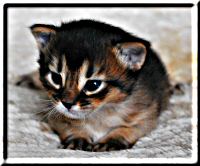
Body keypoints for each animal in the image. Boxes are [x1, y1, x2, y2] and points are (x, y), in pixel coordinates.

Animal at [21, 19, 170, 152]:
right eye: (56, 78)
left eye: (93, 85)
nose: (67, 104)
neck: (100, 112)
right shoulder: (55, 112)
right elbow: (68, 125)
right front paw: (77, 137)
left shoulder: (147, 115)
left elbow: (129, 128)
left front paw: (112, 140)